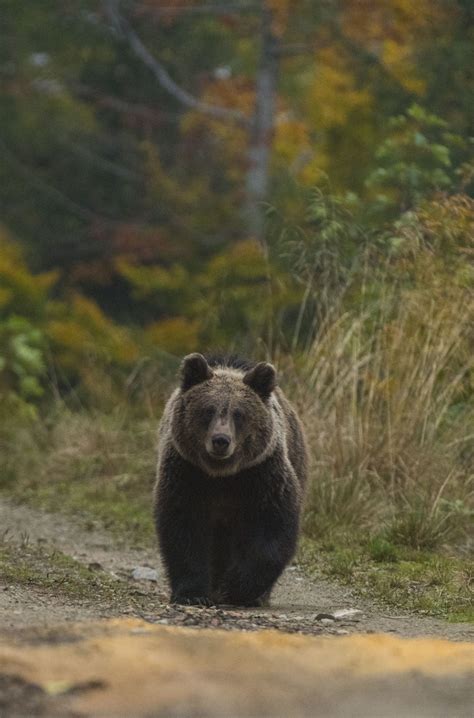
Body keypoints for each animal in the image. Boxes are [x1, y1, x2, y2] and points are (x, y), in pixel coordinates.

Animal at [155, 354, 308, 608]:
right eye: (208, 410)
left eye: (239, 413)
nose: (221, 440)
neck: (222, 475)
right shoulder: (187, 473)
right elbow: (184, 527)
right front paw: (192, 593)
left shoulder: (261, 475)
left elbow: (271, 528)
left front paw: (236, 588)